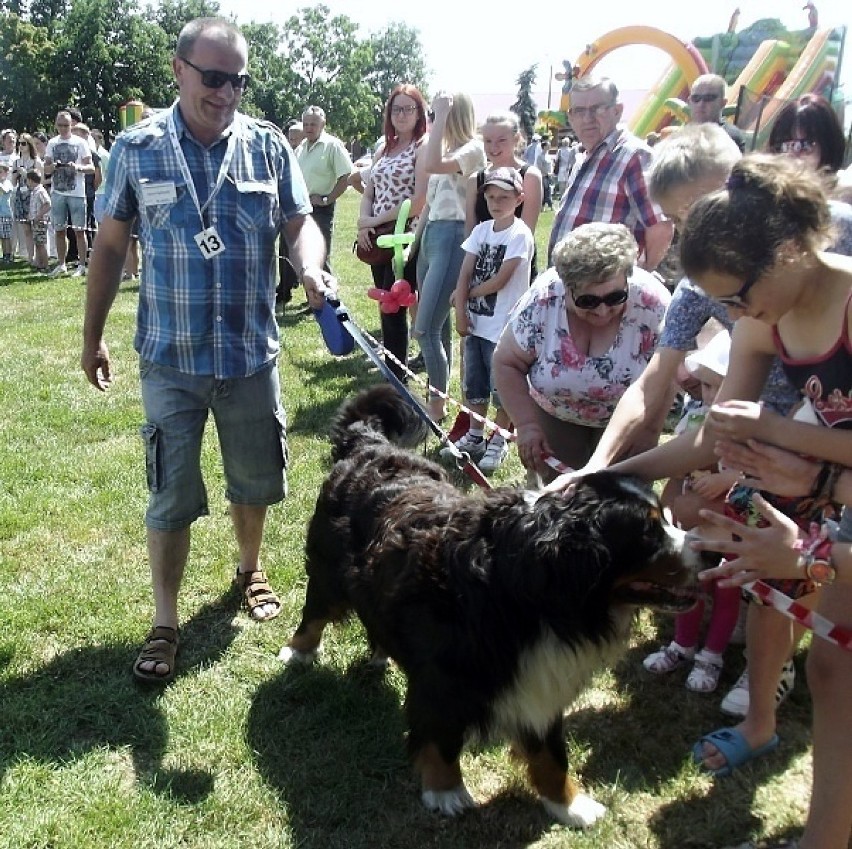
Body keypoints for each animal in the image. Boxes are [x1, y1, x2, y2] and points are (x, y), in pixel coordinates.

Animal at [280, 384, 700, 828]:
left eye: (665, 518)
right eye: (648, 532)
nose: (709, 552)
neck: (530, 589)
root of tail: (371, 445)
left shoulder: (539, 681)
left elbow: (552, 756)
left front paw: (569, 804)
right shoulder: (445, 678)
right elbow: (440, 738)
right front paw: (446, 791)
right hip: (327, 571)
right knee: (314, 613)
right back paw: (299, 652)